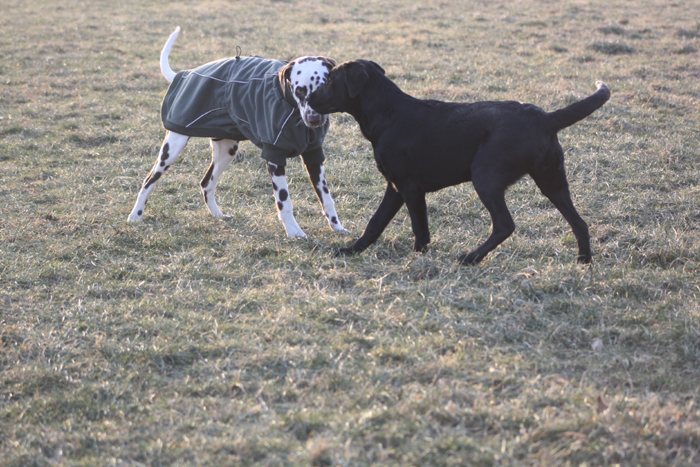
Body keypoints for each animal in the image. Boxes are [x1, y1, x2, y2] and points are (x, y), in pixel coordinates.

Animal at [129, 27, 348, 238]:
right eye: (300, 90)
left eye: (324, 87)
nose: (314, 119)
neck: (291, 109)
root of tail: (185, 74)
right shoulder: (275, 157)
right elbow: (284, 202)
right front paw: (294, 232)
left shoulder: (314, 155)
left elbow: (327, 199)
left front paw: (337, 228)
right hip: (172, 148)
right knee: (149, 181)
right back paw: (135, 216)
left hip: (227, 151)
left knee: (206, 184)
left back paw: (217, 215)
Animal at [308, 59, 608, 264]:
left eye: (331, 81)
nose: (308, 97)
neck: (387, 112)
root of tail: (545, 118)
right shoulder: (395, 188)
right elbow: (375, 222)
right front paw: (351, 250)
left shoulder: (410, 188)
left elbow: (419, 227)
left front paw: (418, 257)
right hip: (552, 180)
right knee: (579, 223)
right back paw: (584, 261)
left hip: (486, 177)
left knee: (505, 224)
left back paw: (471, 258)